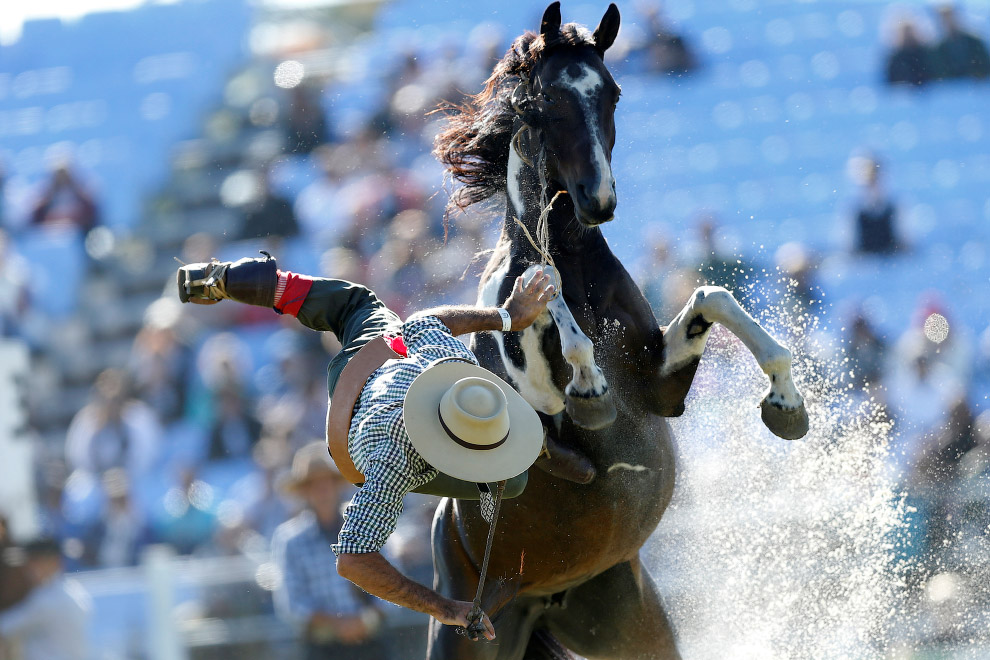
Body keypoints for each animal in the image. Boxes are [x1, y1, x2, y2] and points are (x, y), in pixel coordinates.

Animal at [430, 2, 808, 656]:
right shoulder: (551, 439)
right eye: (543, 101)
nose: (598, 199)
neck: (580, 269)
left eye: (612, 92)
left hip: (633, 623)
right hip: (465, 634)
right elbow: (550, 300)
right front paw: (590, 389)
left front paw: (785, 402)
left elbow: (715, 297)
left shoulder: (659, 388)